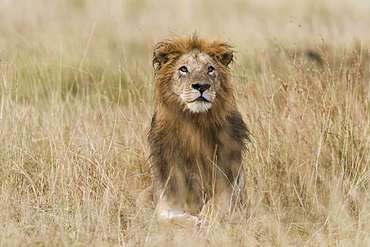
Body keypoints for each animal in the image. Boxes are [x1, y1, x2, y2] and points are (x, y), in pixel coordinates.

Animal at [137, 34, 250, 226]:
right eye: (184, 69)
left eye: (210, 69)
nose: (202, 86)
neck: (194, 127)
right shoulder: (168, 193)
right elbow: (164, 218)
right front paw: (194, 222)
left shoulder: (230, 184)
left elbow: (215, 205)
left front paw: (208, 221)